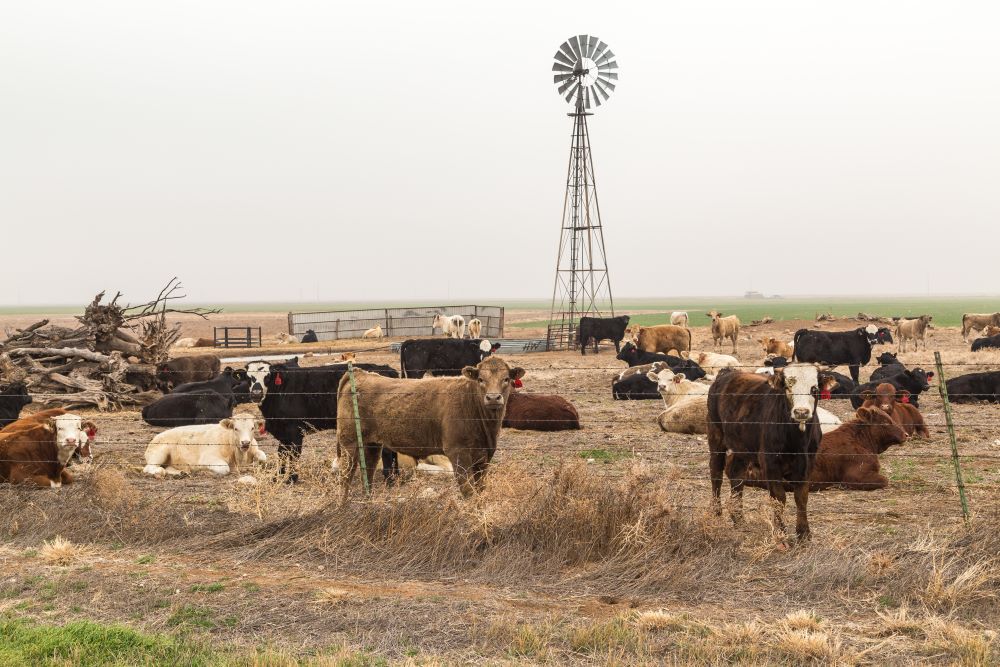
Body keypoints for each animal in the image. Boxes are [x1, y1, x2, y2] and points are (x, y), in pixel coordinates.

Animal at [246, 359, 399, 482]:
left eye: (267, 377)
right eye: (249, 378)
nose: (256, 394)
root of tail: (387, 369)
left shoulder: (295, 432)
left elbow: (294, 454)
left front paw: (291, 478)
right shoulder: (283, 433)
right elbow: (282, 453)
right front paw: (278, 477)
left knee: (387, 450)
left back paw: (389, 478)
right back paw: (396, 475)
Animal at [336, 355, 525, 497]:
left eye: (506, 379)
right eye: (480, 379)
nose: (493, 398)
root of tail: (361, 374)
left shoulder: (483, 458)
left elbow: (480, 490)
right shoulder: (458, 454)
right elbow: (469, 491)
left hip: (371, 444)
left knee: (367, 470)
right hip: (349, 443)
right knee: (345, 476)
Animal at [708, 364, 823, 540]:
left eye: (814, 388)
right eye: (787, 387)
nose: (801, 412)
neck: (796, 439)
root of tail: (727, 373)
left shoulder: (807, 463)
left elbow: (801, 497)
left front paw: (804, 534)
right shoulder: (770, 463)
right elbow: (779, 498)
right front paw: (781, 533)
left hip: (741, 447)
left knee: (736, 475)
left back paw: (738, 518)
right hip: (716, 438)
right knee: (716, 474)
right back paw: (716, 512)